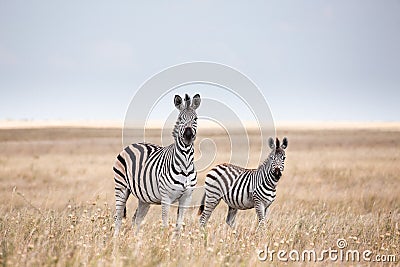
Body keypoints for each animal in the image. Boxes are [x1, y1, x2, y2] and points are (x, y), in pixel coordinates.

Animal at [112, 93, 200, 237]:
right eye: (180, 118)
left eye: (196, 119)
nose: (188, 135)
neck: (186, 163)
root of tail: (132, 145)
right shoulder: (166, 197)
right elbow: (165, 223)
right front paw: (164, 241)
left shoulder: (186, 197)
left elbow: (179, 225)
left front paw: (177, 241)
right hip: (121, 187)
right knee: (118, 216)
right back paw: (115, 239)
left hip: (144, 198)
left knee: (137, 219)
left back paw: (135, 239)